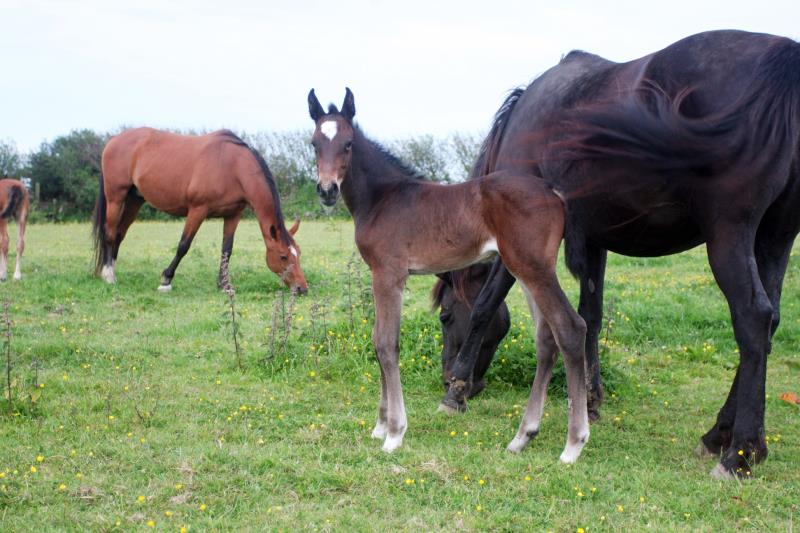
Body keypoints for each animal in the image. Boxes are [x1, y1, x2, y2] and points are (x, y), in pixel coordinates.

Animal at [92, 129, 308, 296]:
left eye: (298, 253)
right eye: (283, 256)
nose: (302, 288)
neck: (232, 166)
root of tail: (113, 141)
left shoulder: (233, 215)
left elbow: (226, 250)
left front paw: (224, 285)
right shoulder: (197, 210)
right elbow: (183, 245)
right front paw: (166, 279)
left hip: (134, 200)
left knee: (119, 234)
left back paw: (110, 269)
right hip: (116, 197)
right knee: (110, 233)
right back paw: (109, 275)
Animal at [310, 87, 592, 462]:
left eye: (348, 144)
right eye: (314, 143)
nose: (327, 190)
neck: (383, 198)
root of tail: (554, 192)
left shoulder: (389, 274)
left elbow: (386, 343)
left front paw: (394, 433)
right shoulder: (380, 275)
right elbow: (376, 340)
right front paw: (380, 426)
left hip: (533, 268)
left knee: (570, 329)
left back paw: (573, 444)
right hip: (527, 270)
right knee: (546, 339)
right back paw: (522, 436)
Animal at [438, 29, 800, 478]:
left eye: (445, 316)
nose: (443, 376)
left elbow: (487, 304)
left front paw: (457, 390)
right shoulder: (594, 239)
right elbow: (590, 316)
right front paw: (590, 400)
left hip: (731, 236)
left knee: (753, 319)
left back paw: (741, 452)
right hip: (775, 237)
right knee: (770, 324)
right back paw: (718, 435)